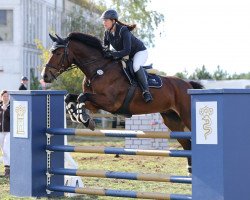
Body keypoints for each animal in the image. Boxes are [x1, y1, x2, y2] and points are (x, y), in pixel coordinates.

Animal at [42, 31, 204, 173]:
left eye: (57, 53)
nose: (45, 76)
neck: (99, 69)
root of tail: (188, 84)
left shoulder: (110, 102)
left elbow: (82, 97)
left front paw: (86, 120)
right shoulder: (95, 104)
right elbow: (71, 97)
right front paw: (79, 116)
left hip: (187, 116)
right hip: (172, 120)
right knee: (187, 144)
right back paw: (190, 170)